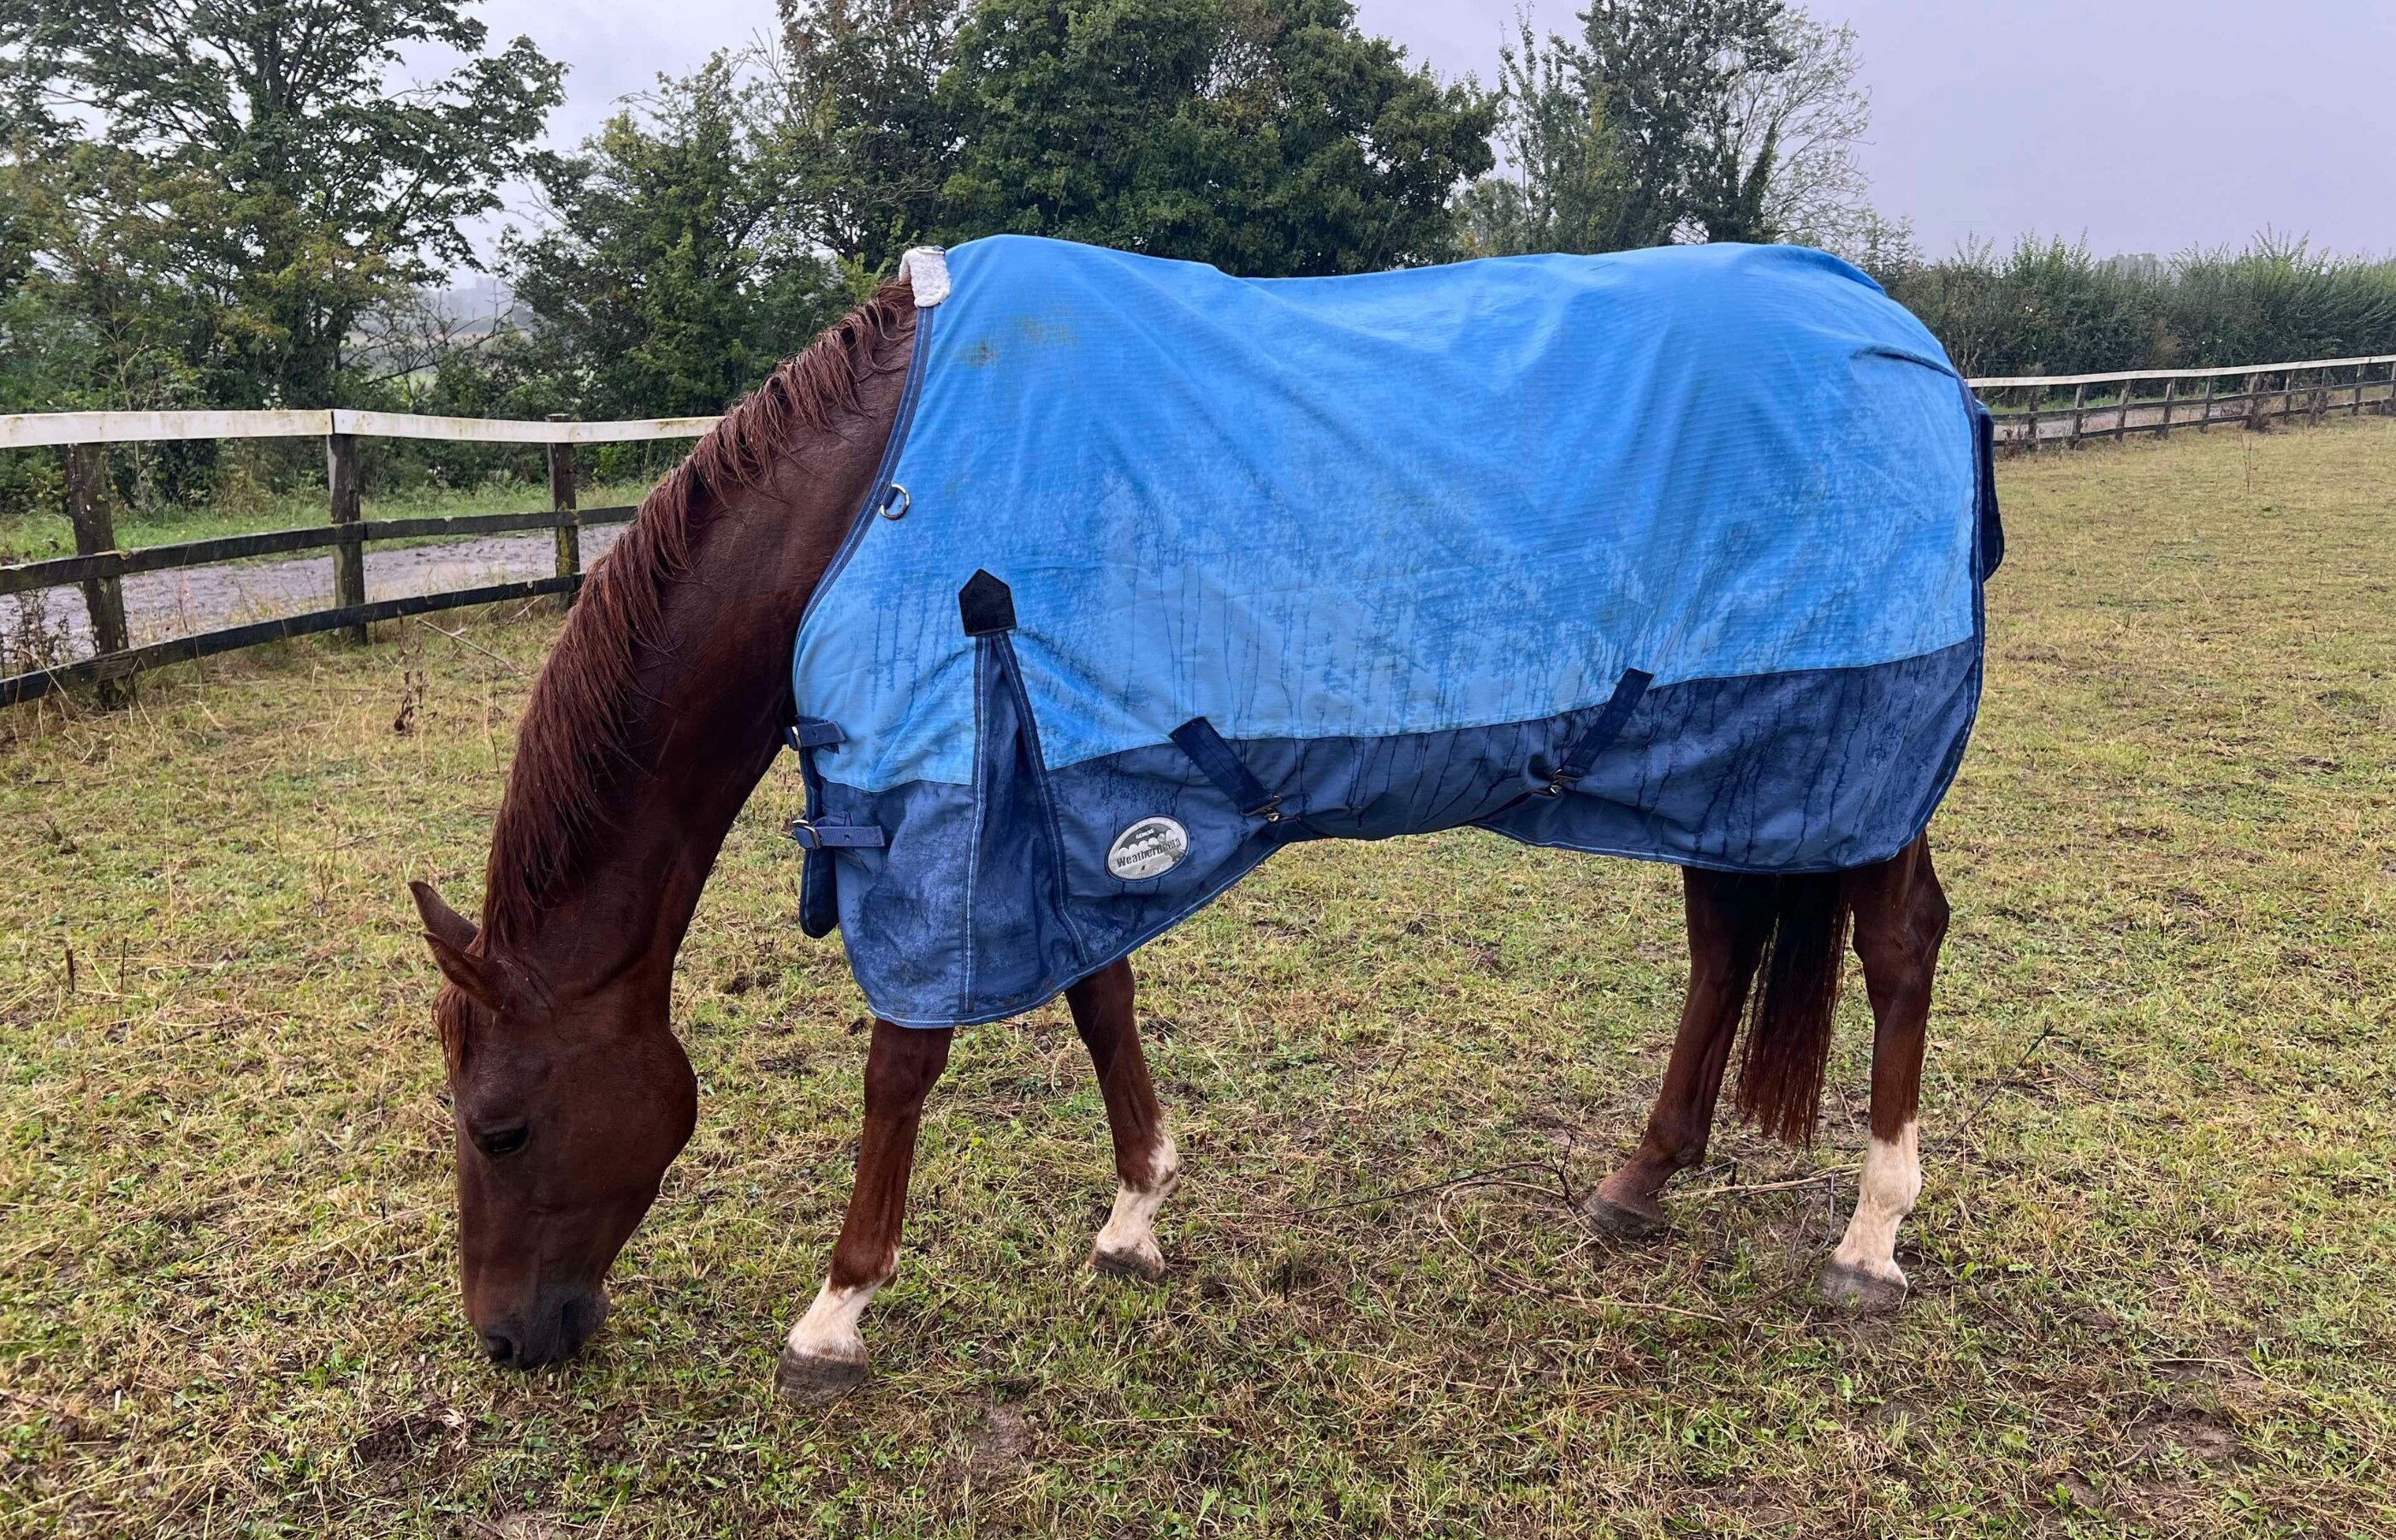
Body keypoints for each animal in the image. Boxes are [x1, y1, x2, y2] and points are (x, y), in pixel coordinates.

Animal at [409, 238, 1988, 1398]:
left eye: (500, 1128)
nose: (508, 1338)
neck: (875, 502)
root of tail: (1901, 335)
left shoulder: (949, 820)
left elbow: (902, 1065)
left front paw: (836, 1312)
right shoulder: (1054, 788)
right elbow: (1099, 1004)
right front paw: (1134, 1215)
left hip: (1861, 749)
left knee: (1902, 943)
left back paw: (1872, 1238)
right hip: (1742, 762)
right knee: (1726, 941)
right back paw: (1639, 1184)